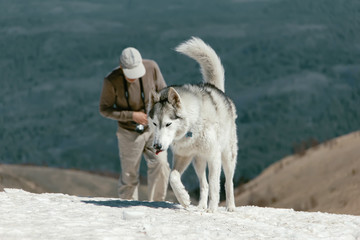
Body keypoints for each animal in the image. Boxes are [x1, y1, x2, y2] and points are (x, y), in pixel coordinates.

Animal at [148, 36, 238, 211]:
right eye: (154, 124)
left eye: (168, 124)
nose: (157, 146)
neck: (193, 125)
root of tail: (216, 88)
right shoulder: (183, 156)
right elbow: (173, 177)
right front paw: (184, 198)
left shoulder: (214, 156)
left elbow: (215, 186)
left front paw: (212, 209)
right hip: (198, 161)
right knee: (203, 184)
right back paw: (201, 206)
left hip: (227, 156)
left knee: (228, 182)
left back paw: (230, 207)